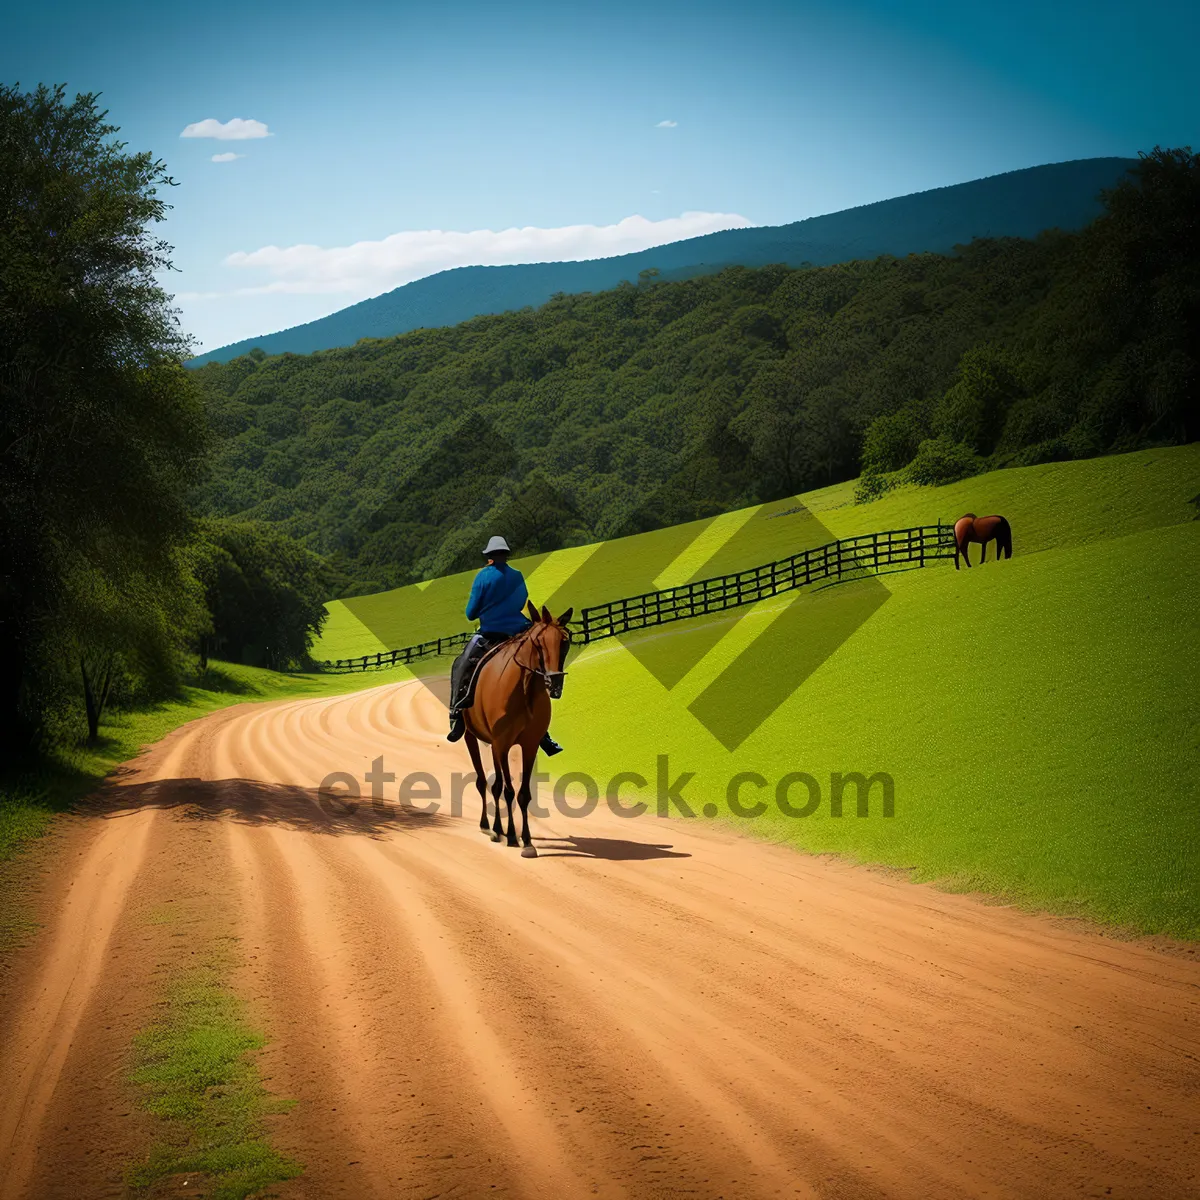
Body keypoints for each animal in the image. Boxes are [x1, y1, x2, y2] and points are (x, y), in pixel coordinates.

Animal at [460, 604, 573, 859]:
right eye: (538, 642)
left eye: (565, 642)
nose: (555, 683)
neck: (524, 688)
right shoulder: (501, 744)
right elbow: (507, 790)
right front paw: (511, 835)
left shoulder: (530, 745)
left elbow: (523, 794)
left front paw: (527, 840)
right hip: (472, 737)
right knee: (485, 782)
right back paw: (489, 827)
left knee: (494, 784)